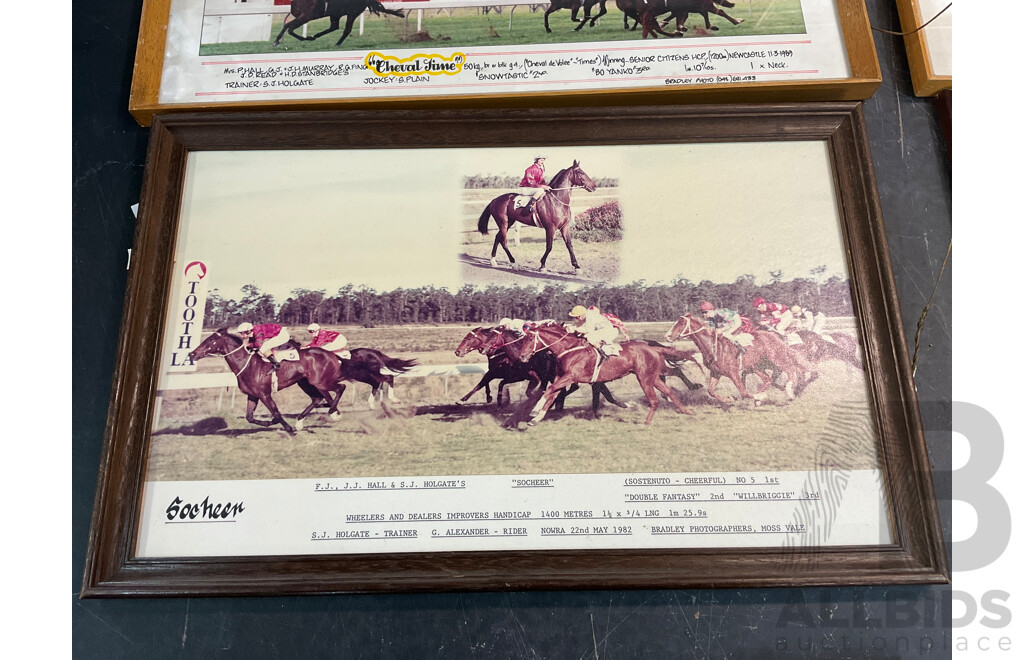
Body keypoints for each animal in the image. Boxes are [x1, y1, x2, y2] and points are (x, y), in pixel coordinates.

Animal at [190, 327, 350, 431]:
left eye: (210, 341)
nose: (192, 354)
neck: (248, 364)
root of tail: (331, 354)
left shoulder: (264, 394)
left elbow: (276, 413)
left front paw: (288, 429)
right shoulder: (253, 395)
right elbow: (249, 417)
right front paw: (269, 423)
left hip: (320, 382)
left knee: (340, 388)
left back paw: (333, 412)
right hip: (305, 382)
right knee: (317, 398)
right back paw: (301, 421)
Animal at [274, 0, 405, 47]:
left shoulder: (306, 16)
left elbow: (289, 27)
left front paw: (276, 41)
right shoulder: (302, 17)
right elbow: (288, 26)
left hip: (352, 12)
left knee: (346, 29)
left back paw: (337, 44)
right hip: (335, 13)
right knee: (334, 26)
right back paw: (315, 36)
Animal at [499, 321, 692, 425]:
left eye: (531, 338)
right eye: (522, 338)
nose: (522, 356)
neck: (568, 349)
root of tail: (652, 347)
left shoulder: (571, 376)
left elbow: (550, 390)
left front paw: (534, 412)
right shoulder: (561, 377)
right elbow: (551, 393)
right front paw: (536, 417)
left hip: (644, 378)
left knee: (654, 399)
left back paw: (646, 422)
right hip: (652, 377)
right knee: (668, 392)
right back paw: (687, 412)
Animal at [667, 313, 819, 401]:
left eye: (681, 323)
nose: (668, 336)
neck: (713, 347)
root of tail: (776, 336)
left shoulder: (733, 372)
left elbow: (744, 391)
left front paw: (757, 397)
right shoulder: (716, 372)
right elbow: (711, 391)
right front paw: (728, 399)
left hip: (776, 358)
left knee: (792, 370)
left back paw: (789, 391)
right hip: (758, 365)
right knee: (769, 379)